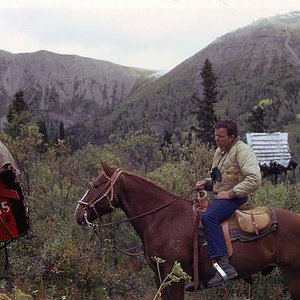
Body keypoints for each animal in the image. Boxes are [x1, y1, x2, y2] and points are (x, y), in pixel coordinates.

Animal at [74, 163, 300, 298]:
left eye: (97, 184)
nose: (78, 214)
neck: (163, 218)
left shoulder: (174, 276)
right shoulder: (160, 276)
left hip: (294, 275)